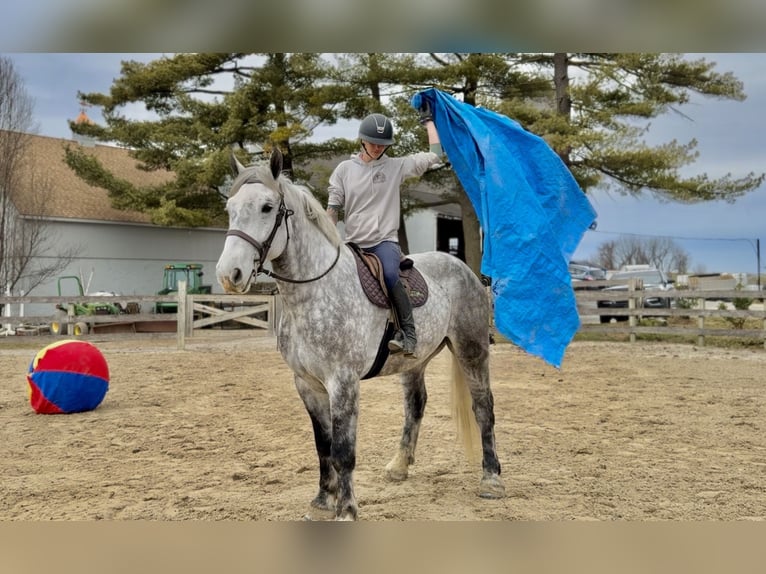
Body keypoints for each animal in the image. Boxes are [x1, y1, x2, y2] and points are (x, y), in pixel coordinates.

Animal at [215, 148, 505, 520]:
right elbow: (322, 446)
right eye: (230, 208)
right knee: (416, 405)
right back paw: (399, 466)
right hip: (415, 361)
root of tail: (463, 269)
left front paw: (346, 510)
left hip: (471, 350)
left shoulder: (343, 383)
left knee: (483, 407)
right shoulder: (307, 384)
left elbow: (343, 450)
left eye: (267, 207)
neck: (317, 290)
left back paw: (491, 478)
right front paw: (322, 502)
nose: (229, 274)